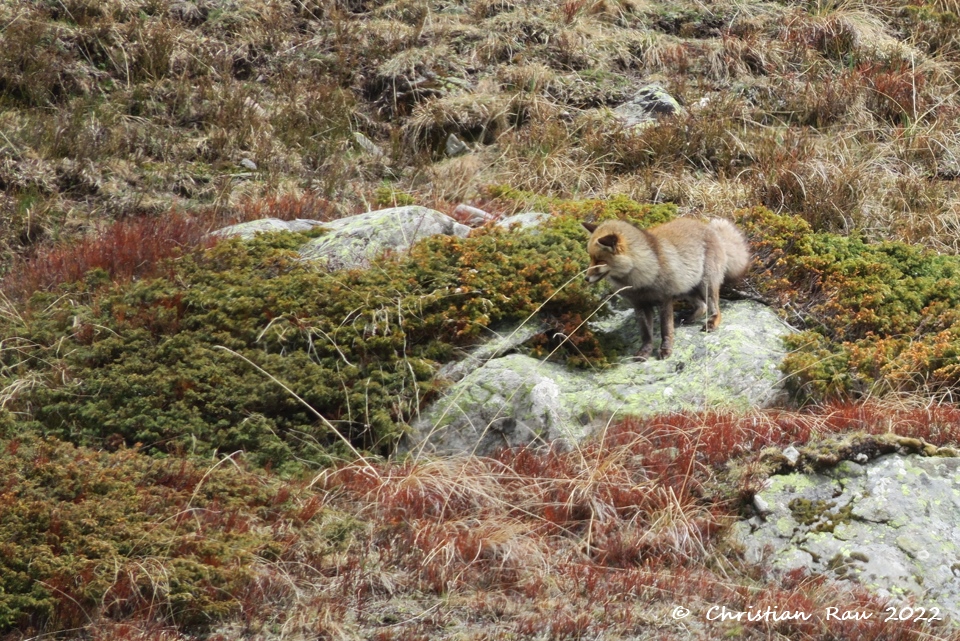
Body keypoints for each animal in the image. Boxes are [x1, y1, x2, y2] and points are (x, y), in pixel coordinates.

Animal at [584, 218, 752, 360]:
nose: (585, 278)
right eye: (591, 258)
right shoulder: (640, 305)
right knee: (702, 306)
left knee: (714, 309)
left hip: (706, 285)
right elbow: (646, 334)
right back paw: (687, 319)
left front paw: (666, 350)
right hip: (685, 288)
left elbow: (665, 330)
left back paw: (711, 322)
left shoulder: (664, 299)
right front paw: (645, 352)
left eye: (599, 260)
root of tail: (708, 228)